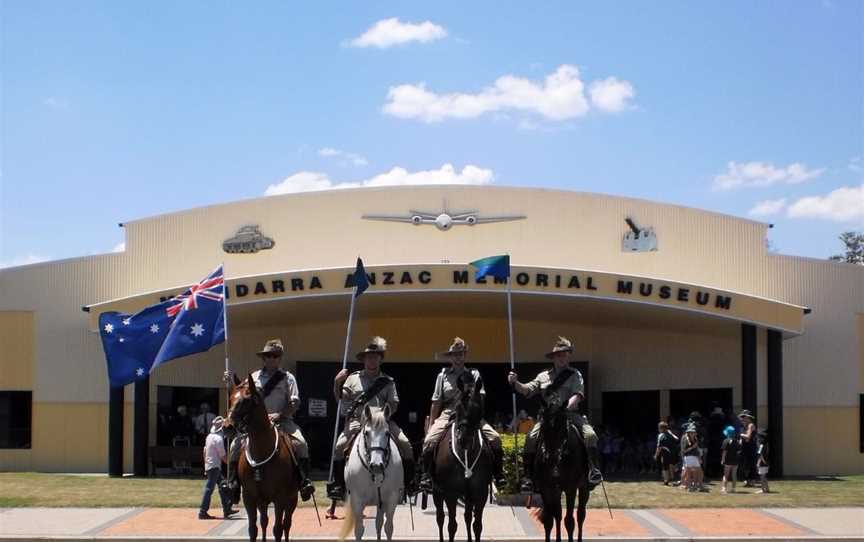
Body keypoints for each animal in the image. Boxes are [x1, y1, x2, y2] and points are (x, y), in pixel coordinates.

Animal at [226, 376, 300, 542]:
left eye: (245, 400)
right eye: (231, 398)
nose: (227, 426)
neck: (261, 451)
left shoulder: (280, 498)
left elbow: (278, 529)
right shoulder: (249, 497)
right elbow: (253, 529)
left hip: (292, 499)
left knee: (287, 524)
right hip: (263, 501)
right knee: (264, 521)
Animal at [340, 404, 404, 542]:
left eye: (387, 433)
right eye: (366, 433)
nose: (376, 465)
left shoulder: (391, 499)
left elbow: (388, 528)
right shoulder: (357, 500)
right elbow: (359, 530)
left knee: (379, 524)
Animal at [428, 374, 490, 542]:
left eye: (478, 408)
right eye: (458, 407)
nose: (464, 439)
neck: (466, 453)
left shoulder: (480, 493)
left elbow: (477, 526)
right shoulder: (450, 493)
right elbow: (451, 526)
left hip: (468, 495)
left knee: (467, 517)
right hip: (437, 491)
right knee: (440, 518)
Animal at [536, 406, 592, 542]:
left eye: (563, 431)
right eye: (543, 429)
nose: (551, 458)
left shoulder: (570, 489)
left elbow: (569, 521)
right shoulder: (545, 488)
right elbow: (549, 520)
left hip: (584, 488)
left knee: (580, 515)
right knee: (558, 515)